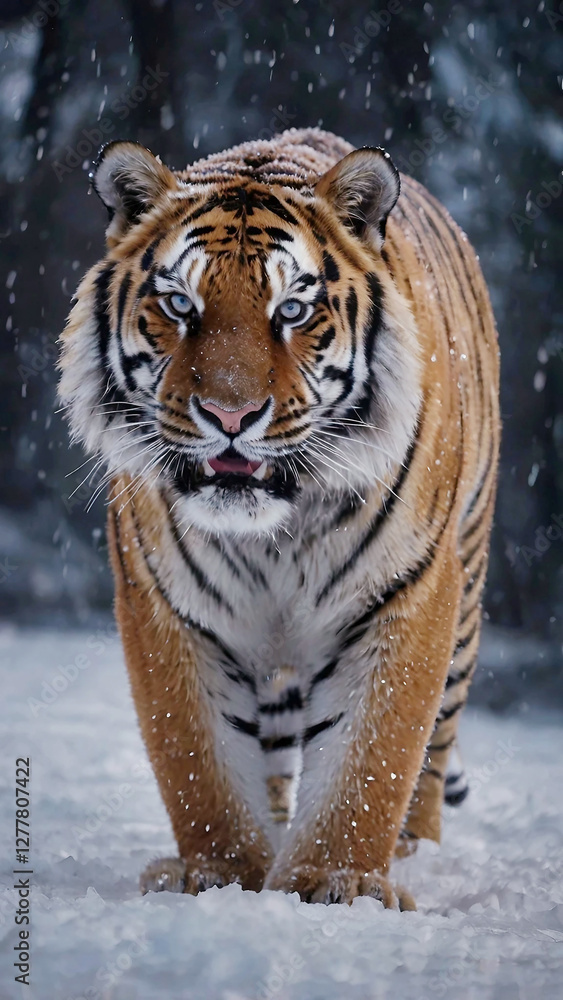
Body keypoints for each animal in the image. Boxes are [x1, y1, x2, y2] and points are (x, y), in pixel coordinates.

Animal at [58, 127, 500, 909]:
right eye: (180, 305)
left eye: (291, 311)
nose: (230, 415)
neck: (275, 533)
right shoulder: (165, 603)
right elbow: (196, 757)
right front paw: (219, 871)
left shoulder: (407, 593)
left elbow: (372, 754)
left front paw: (337, 879)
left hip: (467, 585)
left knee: (434, 746)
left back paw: (412, 847)